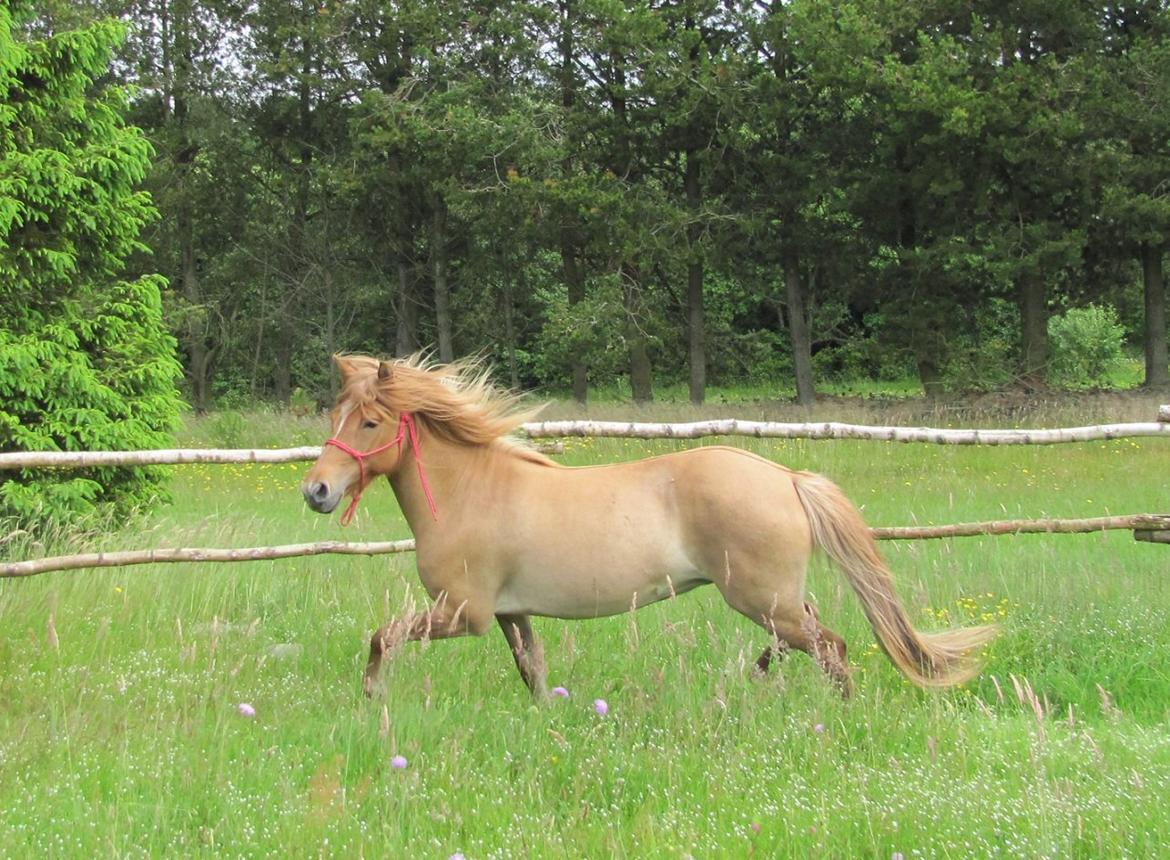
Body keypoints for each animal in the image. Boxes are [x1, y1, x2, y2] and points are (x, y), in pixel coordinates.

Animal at [301, 355, 996, 702]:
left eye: (369, 421)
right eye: (335, 414)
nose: (317, 491)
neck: (473, 492)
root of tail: (784, 476)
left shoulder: (460, 612)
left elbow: (383, 637)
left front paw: (370, 697)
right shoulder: (508, 613)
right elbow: (532, 671)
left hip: (759, 596)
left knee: (833, 647)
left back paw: (837, 712)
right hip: (773, 599)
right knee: (809, 636)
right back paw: (761, 677)